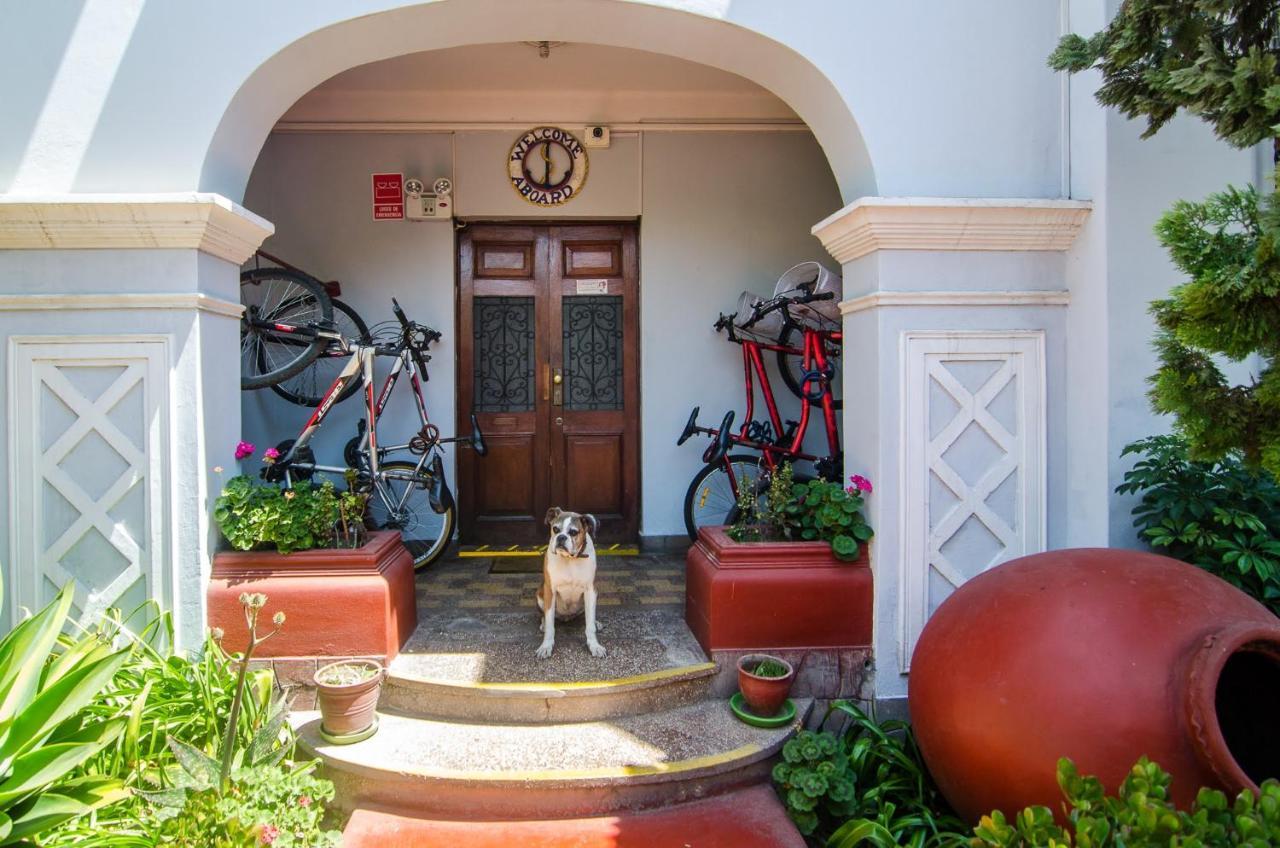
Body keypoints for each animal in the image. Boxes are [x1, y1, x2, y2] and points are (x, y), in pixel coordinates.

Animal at [532, 507, 606, 660]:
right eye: (555, 529)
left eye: (573, 532)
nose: (561, 537)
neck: (570, 559)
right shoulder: (550, 590)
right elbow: (550, 625)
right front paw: (546, 646)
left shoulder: (590, 591)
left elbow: (589, 625)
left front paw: (594, 645)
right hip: (540, 594)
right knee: (545, 616)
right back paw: (543, 624)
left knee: (587, 615)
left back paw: (596, 623)